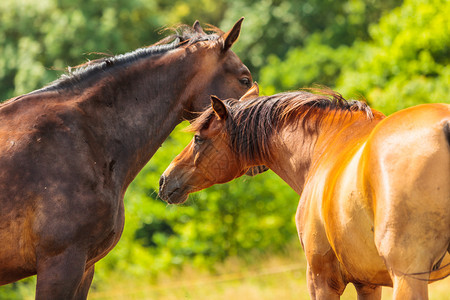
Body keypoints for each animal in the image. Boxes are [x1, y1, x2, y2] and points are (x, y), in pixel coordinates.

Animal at [160, 85, 448, 298]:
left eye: (198, 138)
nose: (165, 180)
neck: (328, 142)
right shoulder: (368, 284)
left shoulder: (321, 281)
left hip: (407, 277)